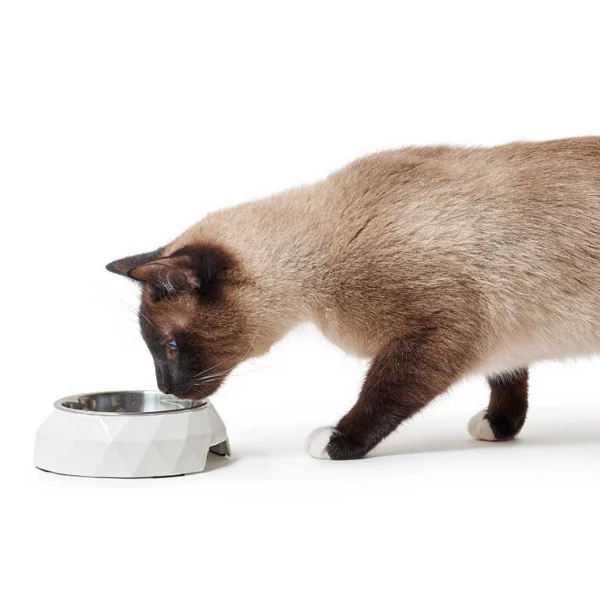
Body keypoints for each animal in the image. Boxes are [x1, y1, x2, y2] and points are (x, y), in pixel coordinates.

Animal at [107, 136, 600, 460]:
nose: (164, 388)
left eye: (170, 347)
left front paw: (338, 443)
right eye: (156, 350)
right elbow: (508, 378)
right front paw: (500, 428)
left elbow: (381, 395)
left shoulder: (435, 334)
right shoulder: (501, 334)